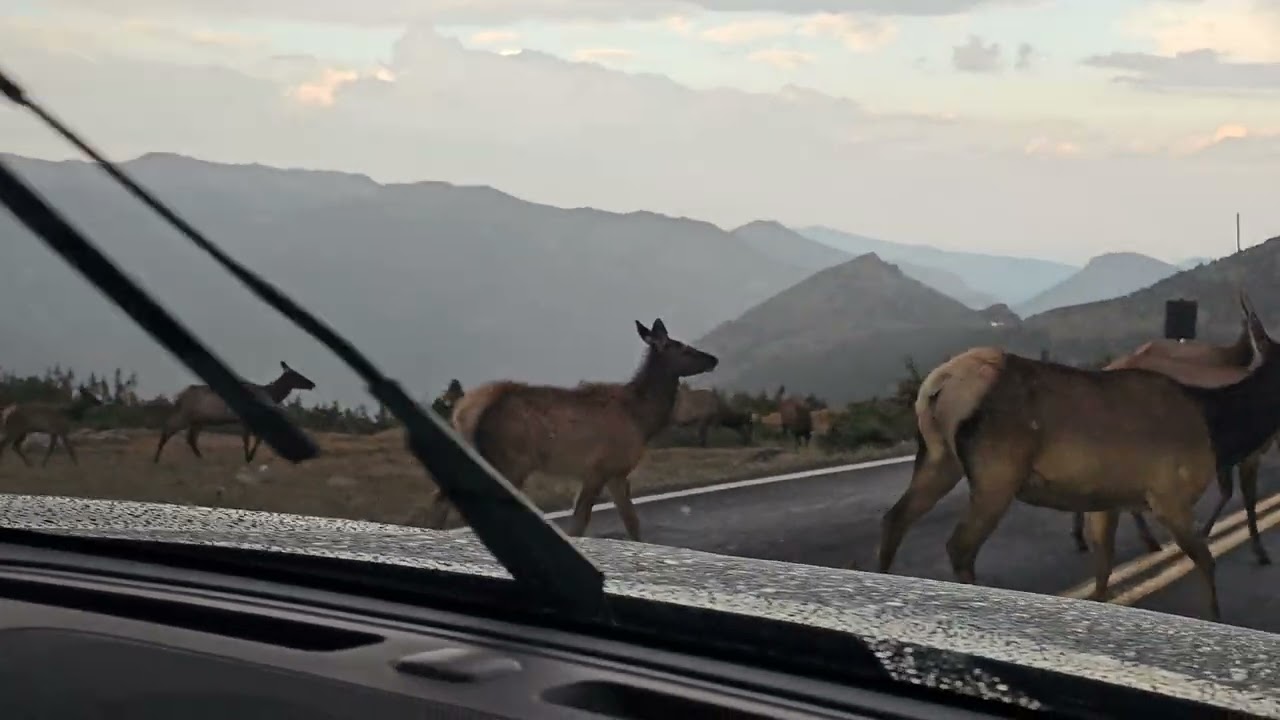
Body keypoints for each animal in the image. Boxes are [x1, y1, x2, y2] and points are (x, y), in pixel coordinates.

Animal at [152, 361, 316, 464]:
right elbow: (249, 439)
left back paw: (201, 458)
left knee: (190, 438)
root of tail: (180, 395)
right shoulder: (247, 419)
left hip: (198, 419)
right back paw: (156, 459)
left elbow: (255, 439)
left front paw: (249, 457)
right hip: (186, 414)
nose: (312, 384)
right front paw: (248, 458)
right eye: (296, 375)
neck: (270, 394)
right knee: (169, 428)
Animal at [423, 318, 718, 540]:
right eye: (683, 348)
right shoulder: (599, 468)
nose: (713, 359)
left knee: (440, 498)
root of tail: (462, 412)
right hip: (507, 461)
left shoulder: (616, 473)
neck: (643, 419)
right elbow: (579, 524)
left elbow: (632, 523)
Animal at [875, 292, 1279, 621]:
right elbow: (1207, 561)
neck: (1219, 428)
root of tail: (938, 384)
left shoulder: (1109, 499)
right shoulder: (1169, 495)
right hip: (996, 472)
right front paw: (1216, 616)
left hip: (938, 459)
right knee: (959, 546)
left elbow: (1104, 571)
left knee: (895, 517)